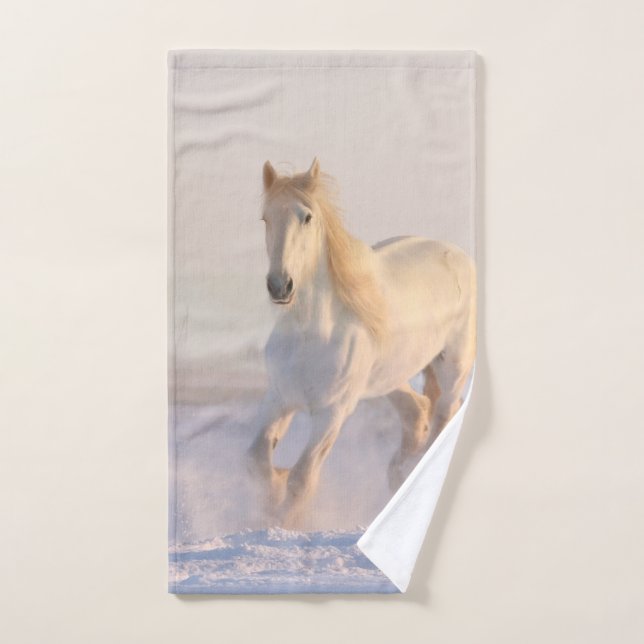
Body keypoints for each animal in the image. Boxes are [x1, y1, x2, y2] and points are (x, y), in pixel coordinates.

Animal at [247, 158, 476, 526]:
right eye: (266, 218)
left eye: (306, 217)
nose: (280, 286)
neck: (311, 333)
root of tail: (458, 255)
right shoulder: (280, 398)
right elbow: (256, 460)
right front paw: (271, 500)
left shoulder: (332, 412)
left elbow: (302, 477)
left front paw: (282, 522)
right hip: (389, 378)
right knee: (417, 413)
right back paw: (398, 475)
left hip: (453, 367)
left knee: (442, 415)